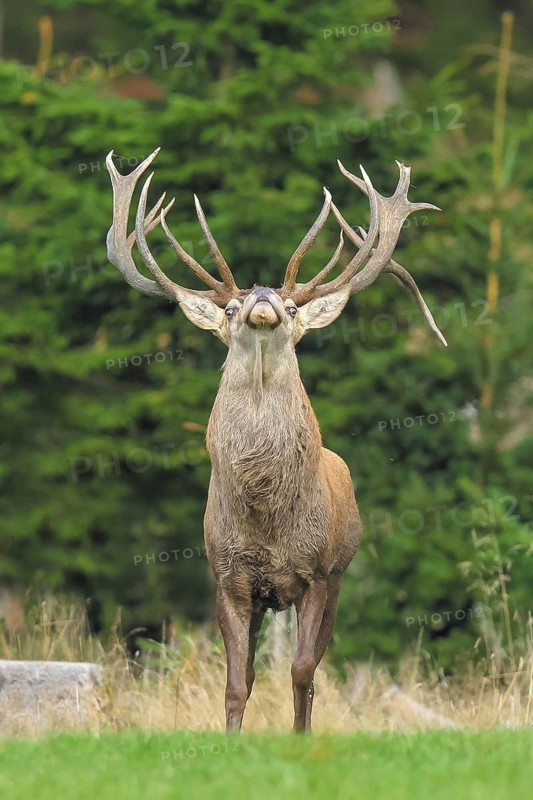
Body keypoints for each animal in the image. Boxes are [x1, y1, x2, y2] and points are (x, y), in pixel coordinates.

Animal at [105, 148, 446, 733]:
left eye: (290, 308)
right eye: (229, 308)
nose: (262, 298)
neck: (266, 517)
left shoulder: (318, 573)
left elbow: (303, 672)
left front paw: (299, 738)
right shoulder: (229, 578)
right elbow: (236, 682)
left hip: (341, 571)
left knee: (313, 668)